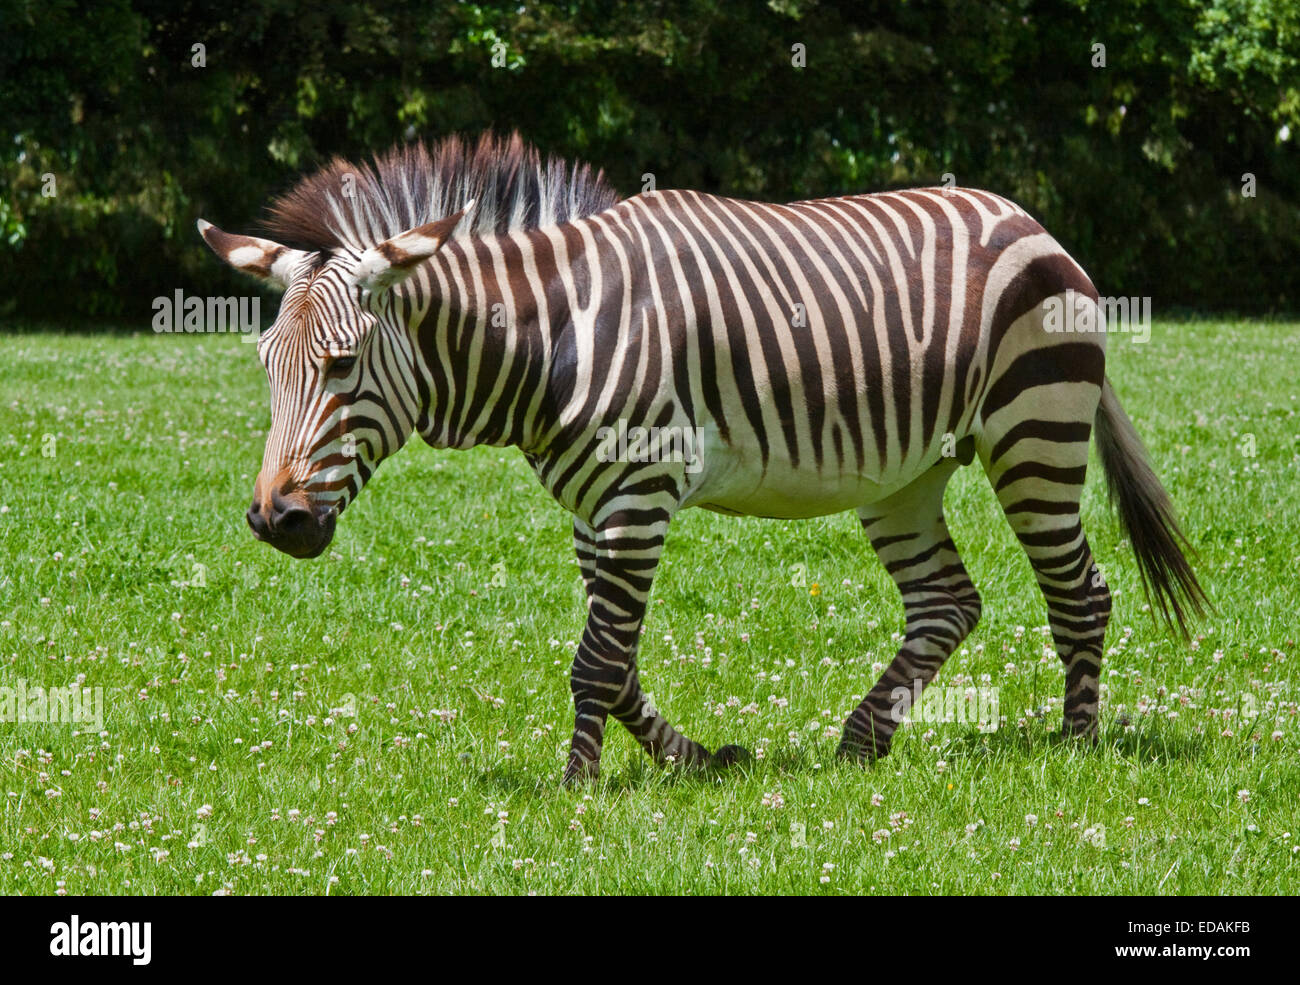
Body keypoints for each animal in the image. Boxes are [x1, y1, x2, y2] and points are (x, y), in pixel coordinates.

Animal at [197, 131, 1201, 784]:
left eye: (341, 364)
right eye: (266, 364)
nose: (274, 520)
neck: (549, 340)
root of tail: (1031, 221)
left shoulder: (638, 494)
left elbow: (599, 660)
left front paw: (577, 788)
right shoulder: (592, 509)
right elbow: (617, 661)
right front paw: (698, 757)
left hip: (1034, 433)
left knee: (1081, 593)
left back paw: (1077, 748)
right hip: (906, 475)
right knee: (948, 603)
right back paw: (862, 742)